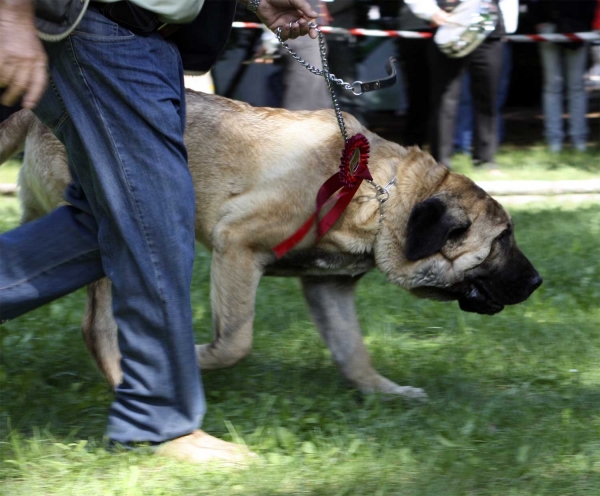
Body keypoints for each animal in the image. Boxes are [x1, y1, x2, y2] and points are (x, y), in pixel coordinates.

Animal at [0, 91, 544, 402]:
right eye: (502, 240)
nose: (539, 281)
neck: (380, 191)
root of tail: (37, 112)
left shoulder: (328, 287)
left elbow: (353, 352)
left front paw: (385, 393)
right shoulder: (236, 246)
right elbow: (235, 341)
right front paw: (196, 358)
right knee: (100, 328)